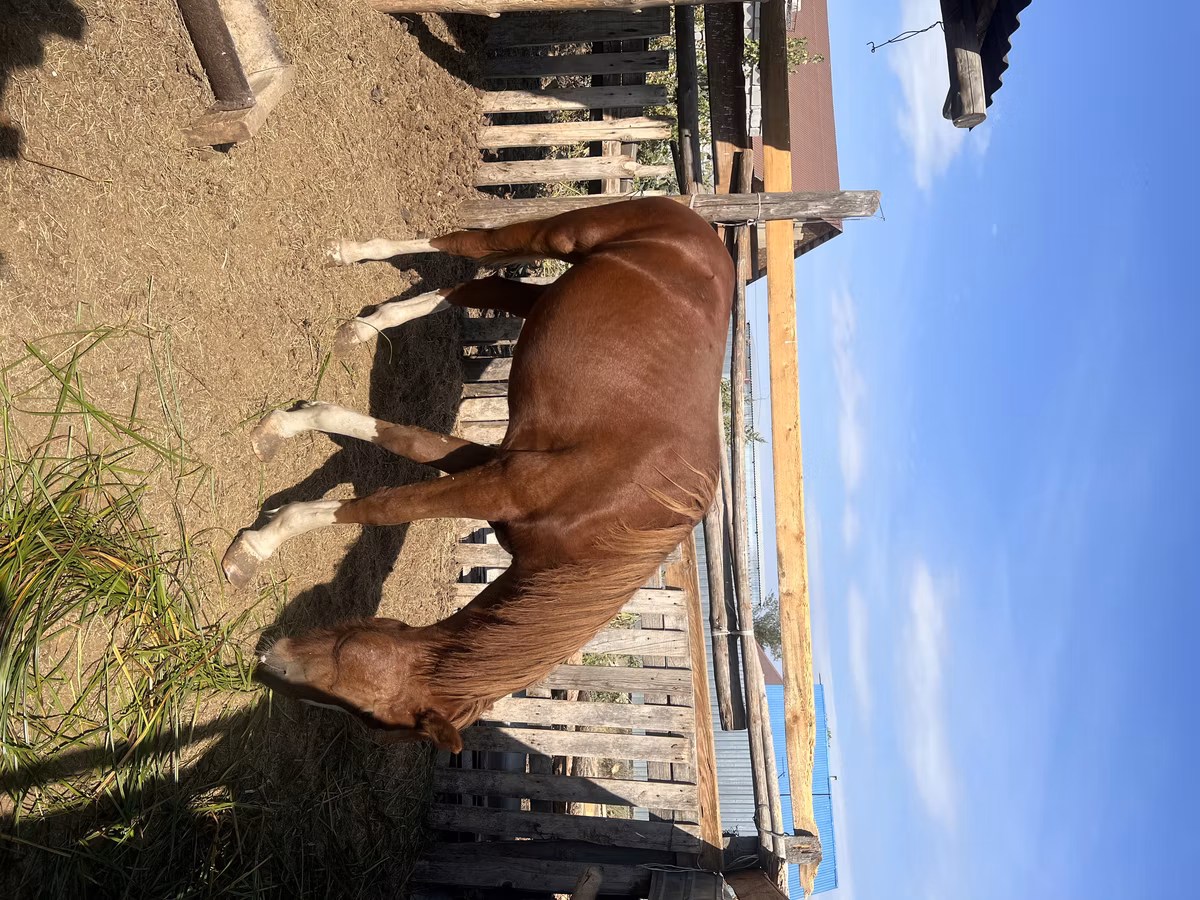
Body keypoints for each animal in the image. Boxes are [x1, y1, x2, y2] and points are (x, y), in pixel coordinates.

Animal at [221, 197, 735, 753]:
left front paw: (286, 432)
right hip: (557, 238)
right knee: (467, 247)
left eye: (366, 714)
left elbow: (402, 448)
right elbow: (383, 504)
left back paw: (362, 327)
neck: (609, 521)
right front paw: (257, 544)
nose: (267, 665)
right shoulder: (497, 483)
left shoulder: (487, 467)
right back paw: (352, 254)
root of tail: (693, 218)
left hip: (543, 296)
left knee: (474, 288)